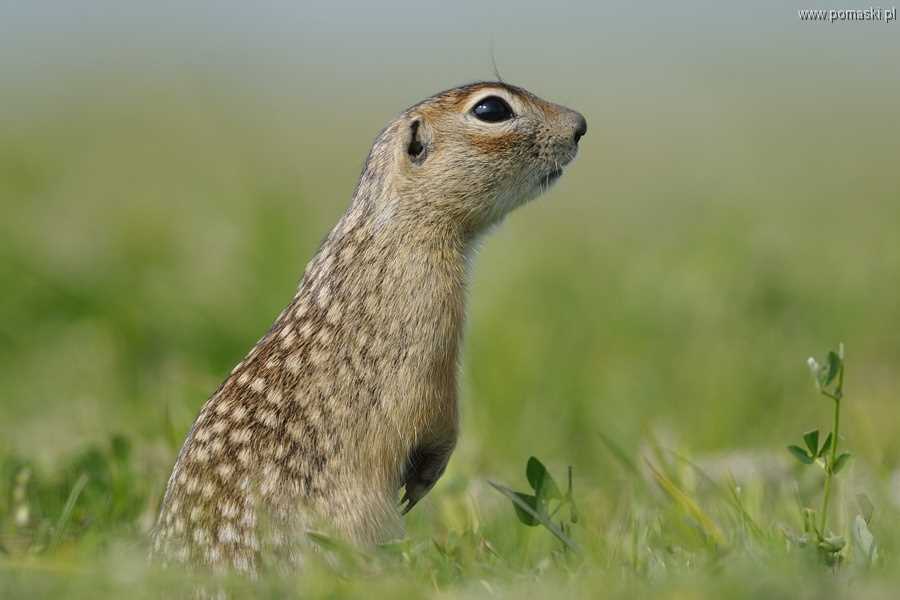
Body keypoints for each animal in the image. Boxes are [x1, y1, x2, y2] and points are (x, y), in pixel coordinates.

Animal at [151, 82, 588, 576]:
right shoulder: (431, 330)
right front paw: (422, 481)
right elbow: (436, 412)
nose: (580, 124)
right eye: (491, 109)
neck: (393, 225)